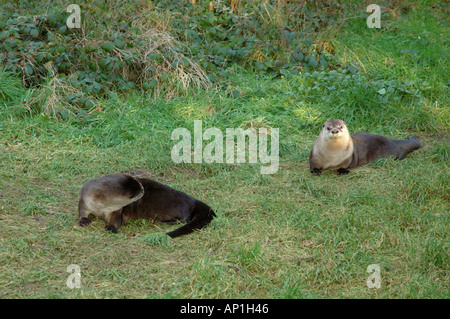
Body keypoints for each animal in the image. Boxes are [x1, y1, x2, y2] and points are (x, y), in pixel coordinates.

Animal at [78, 172, 216, 238]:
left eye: (138, 183)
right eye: (133, 195)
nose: (143, 189)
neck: (100, 206)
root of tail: (192, 200)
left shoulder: (115, 210)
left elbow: (116, 220)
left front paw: (111, 228)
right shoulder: (84, 200)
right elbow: (81, 211)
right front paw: (83, 220)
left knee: (184, 218)